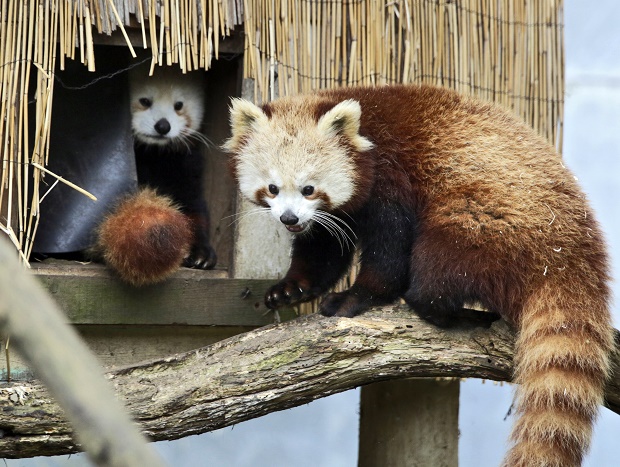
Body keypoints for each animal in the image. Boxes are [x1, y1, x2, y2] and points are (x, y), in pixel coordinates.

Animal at [95, 66, 216, 286]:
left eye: (178, 105)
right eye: (145, 101)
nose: (163, 126)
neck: (153, 153)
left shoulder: (184, 167)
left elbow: (194, 208)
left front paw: (202, 252)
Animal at [224, 85, 616, 467]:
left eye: (308, 188)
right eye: (273, 188)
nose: (289, 219)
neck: (365, 134)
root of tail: (575, 255)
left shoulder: (390, 175)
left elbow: (389, 249)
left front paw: (356, 297)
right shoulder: (335, 215)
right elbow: (323, 248)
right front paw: (290, 290)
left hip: (485, 221)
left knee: (436, 270)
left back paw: (453, 314)